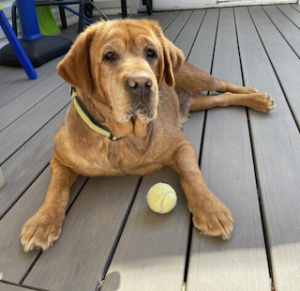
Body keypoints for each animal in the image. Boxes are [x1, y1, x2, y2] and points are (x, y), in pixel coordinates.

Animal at [20, 18, 274, 252]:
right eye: (109, 55)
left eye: (151, 53)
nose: (141, 83)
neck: (120, 138)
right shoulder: (59, 158)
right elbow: (56, 189)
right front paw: (43, 221)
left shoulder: (181, 145)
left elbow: (191, 174)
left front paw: (209, 207)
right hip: (197, 101)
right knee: (222, 99)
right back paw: (255, 99)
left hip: (197, 77)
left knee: (223, 84)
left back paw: (255, 95)